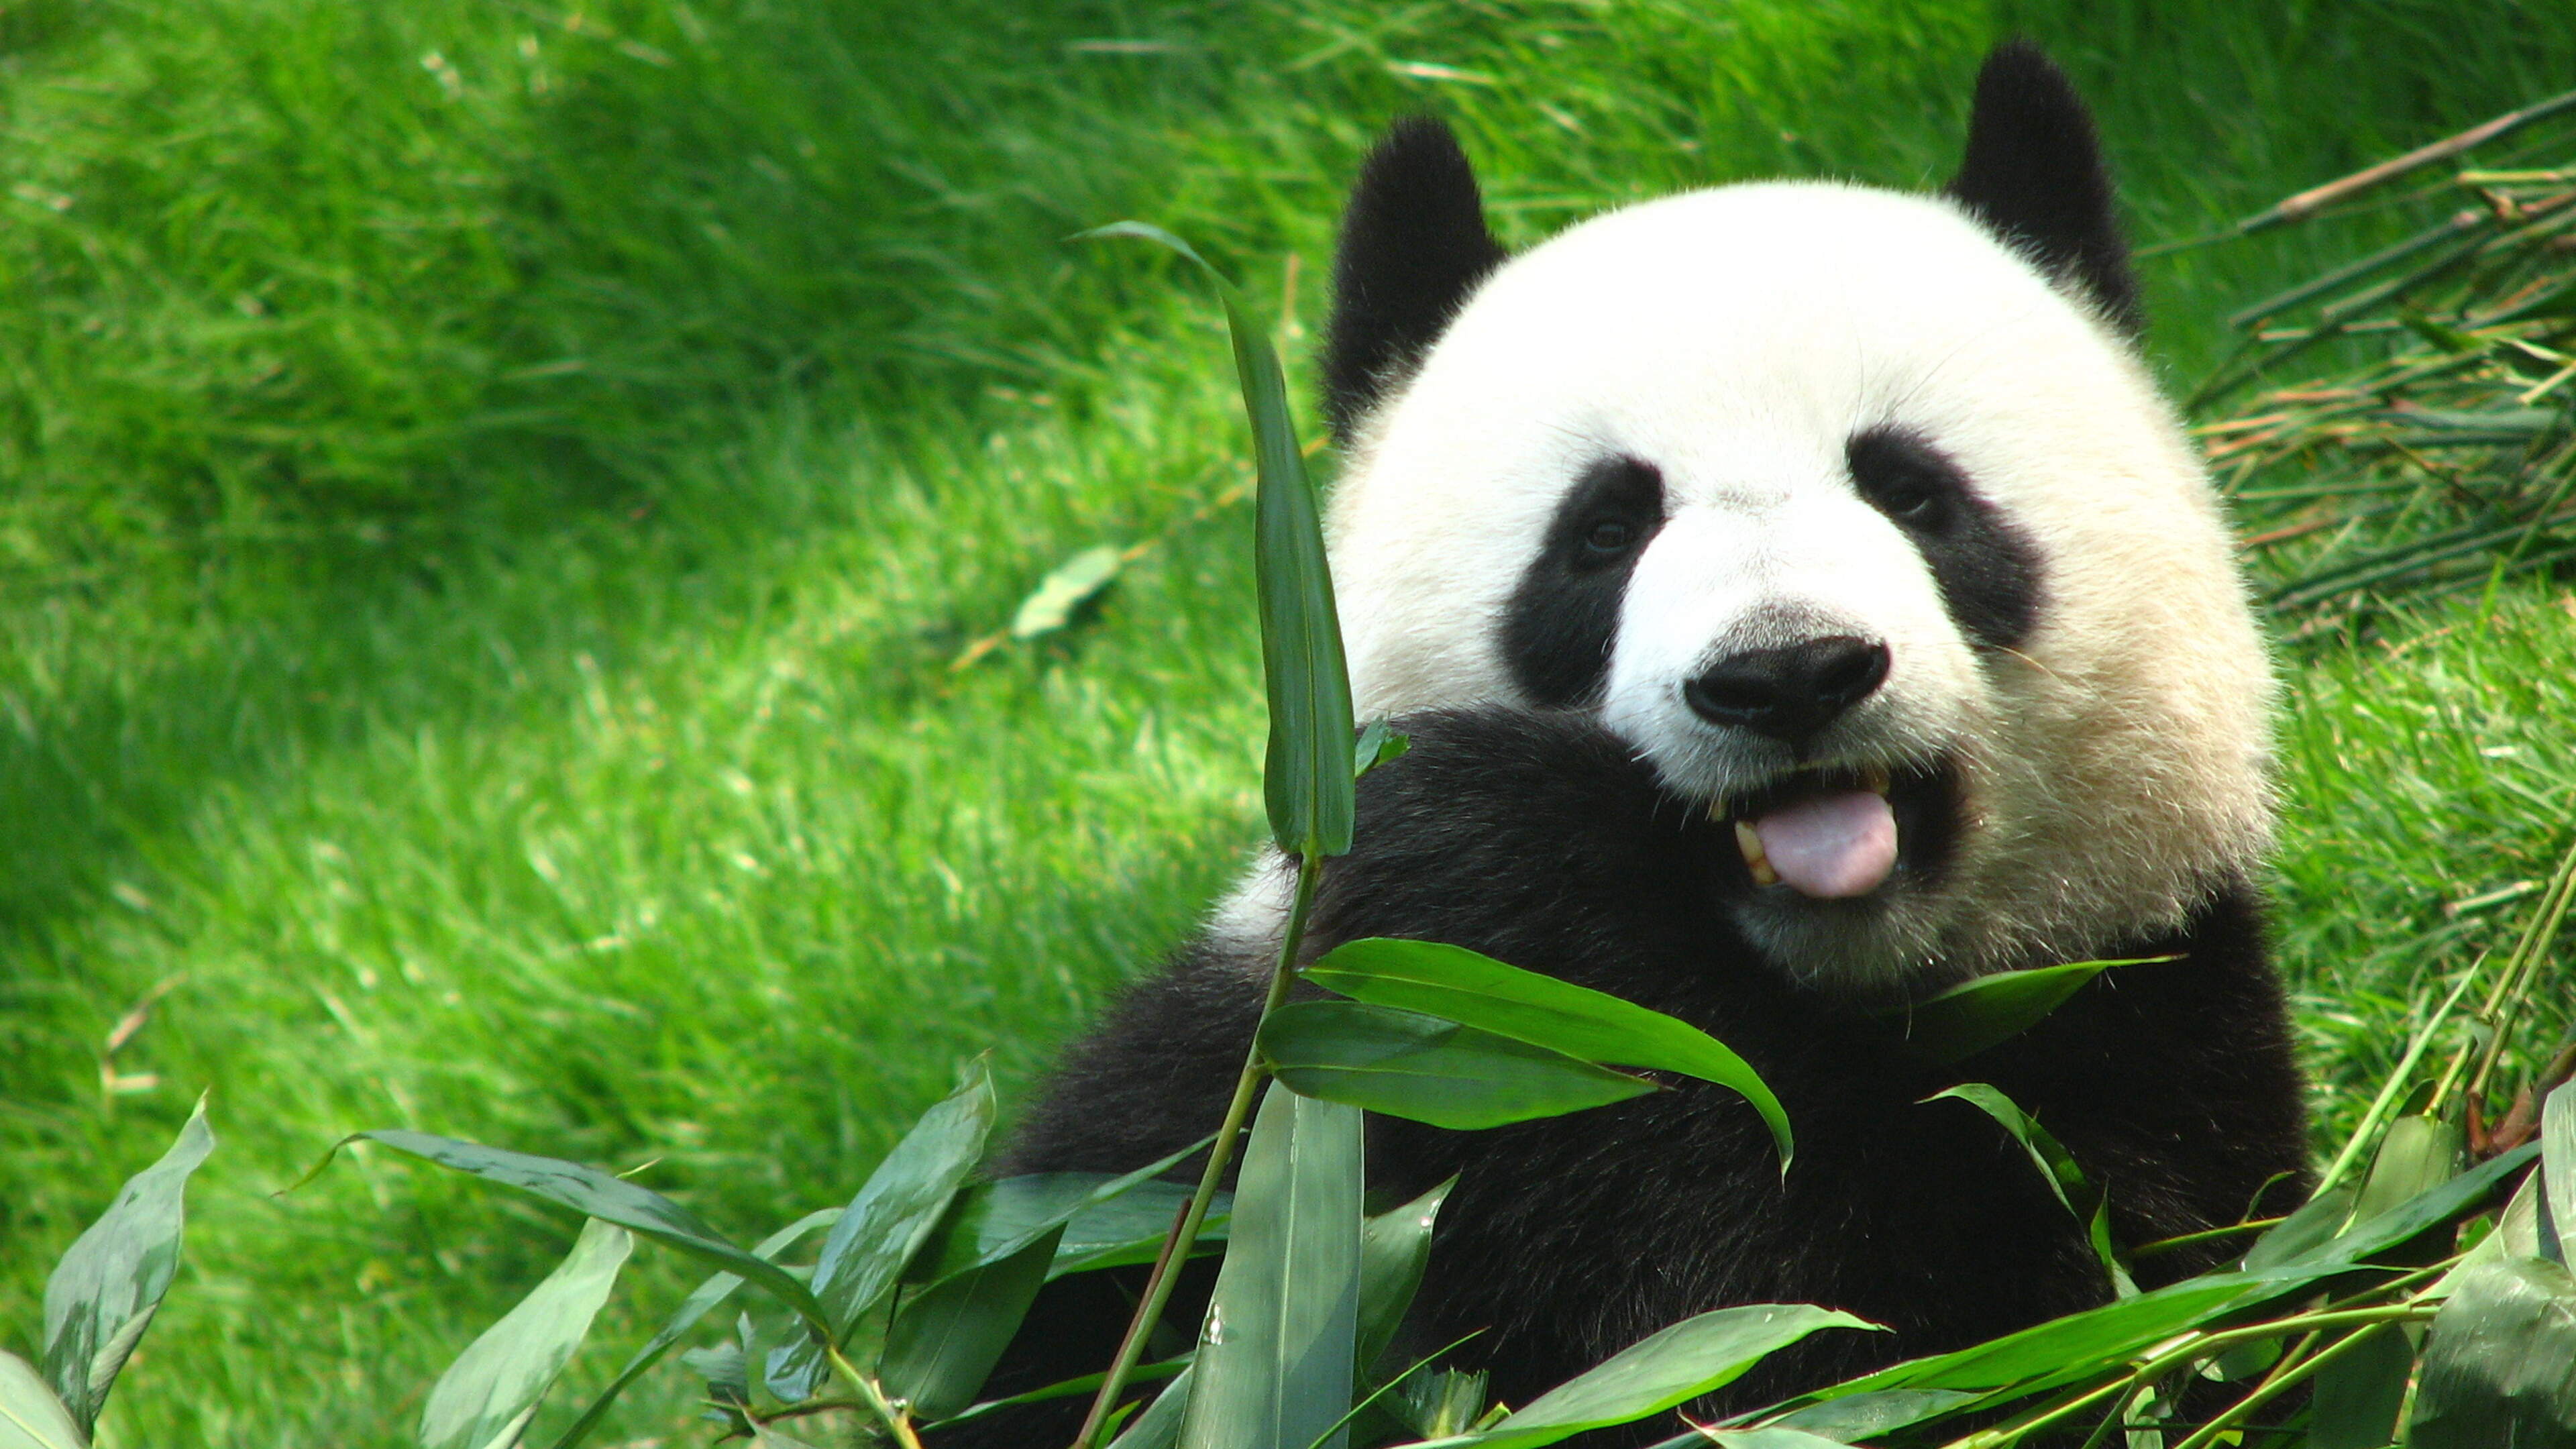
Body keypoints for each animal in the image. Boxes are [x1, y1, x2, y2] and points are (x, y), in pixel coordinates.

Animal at [949, 40, 2310, 1448]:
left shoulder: (2148, 1027)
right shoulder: (1208, 1124)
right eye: (1603, 532)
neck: (1808, 990)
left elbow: (1904, 1342)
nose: (1786, 673)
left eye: (1914, 492)